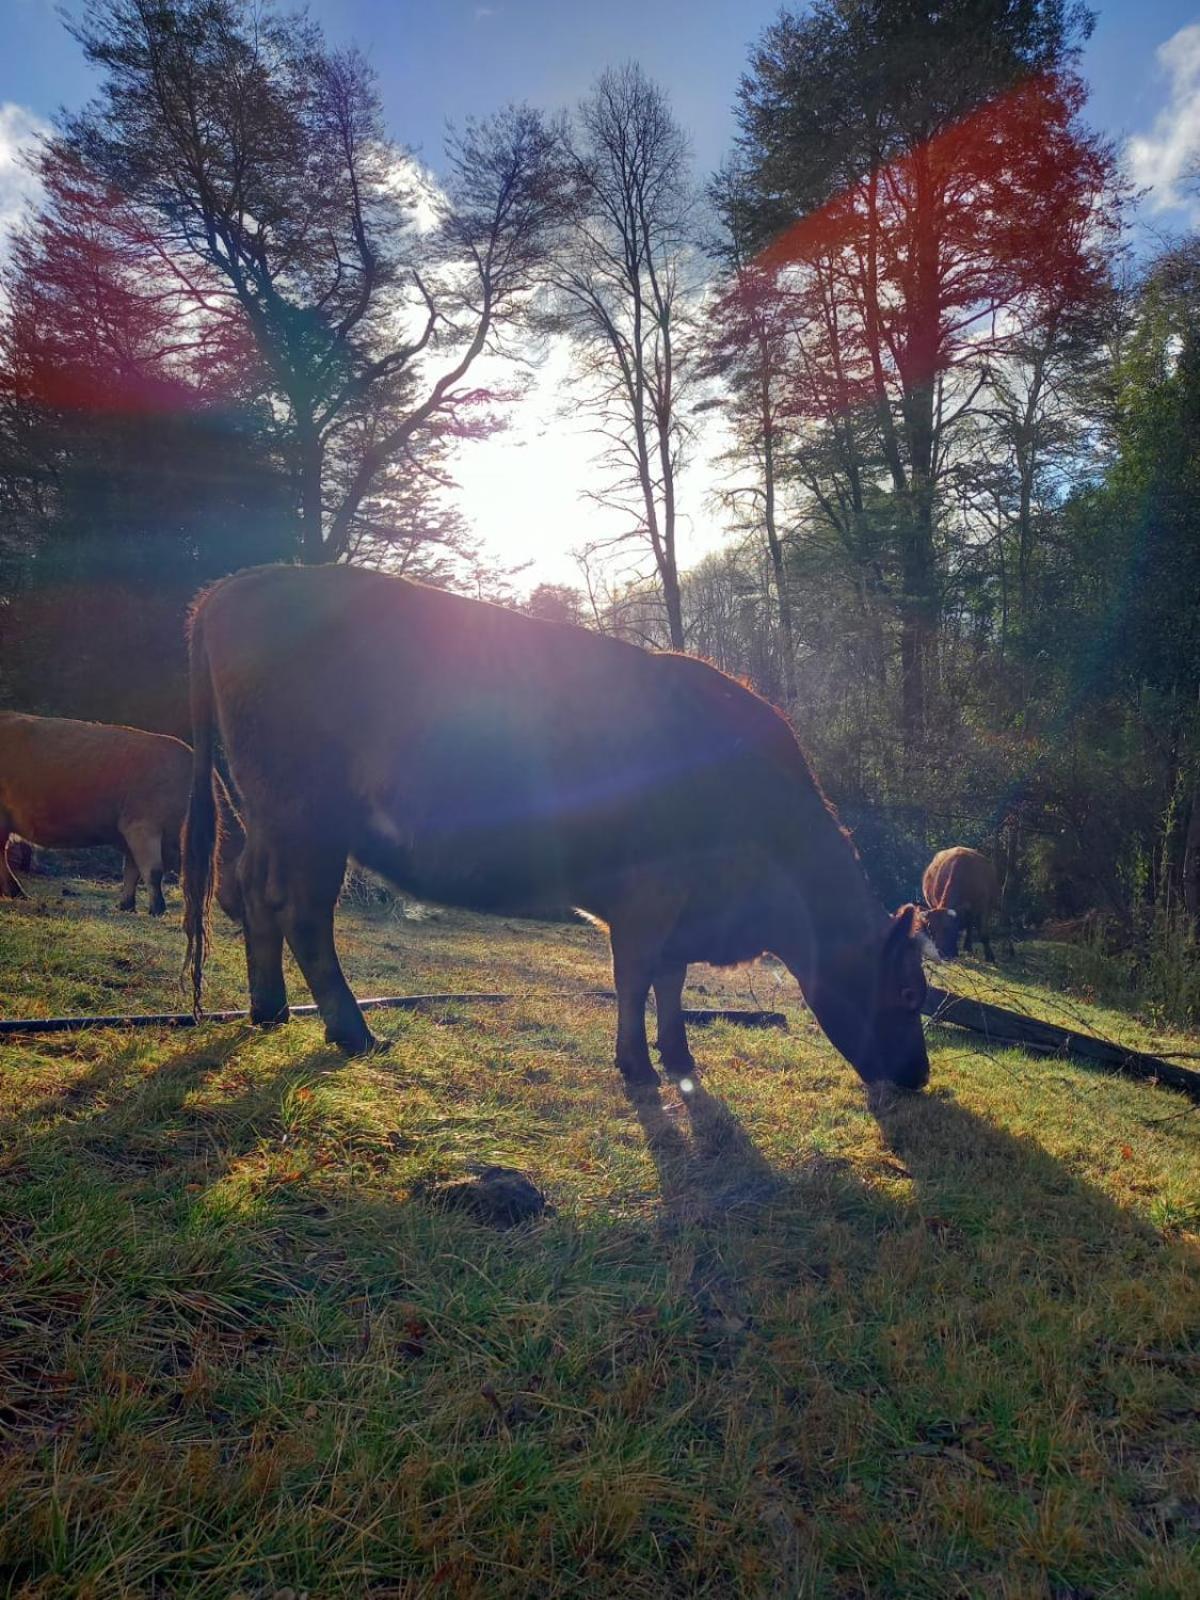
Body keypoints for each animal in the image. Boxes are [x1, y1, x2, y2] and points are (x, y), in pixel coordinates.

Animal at [0, 710, 244, 921]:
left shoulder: (132, 836)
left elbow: (132, 871)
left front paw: (128, 905)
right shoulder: (141, 827)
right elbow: (154, 871)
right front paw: (157, 909)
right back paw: (17, 891)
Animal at [183, 560, 934, 1088]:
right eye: (907, 991)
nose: (920, 1076)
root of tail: (230, 589)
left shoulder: (684, 912)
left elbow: (671, 982)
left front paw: (679, 1057)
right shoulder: (648, 898)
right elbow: (636, 976)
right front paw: (637, 1066)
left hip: (266, 816)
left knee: (252, 893)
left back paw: (271, 1010)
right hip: (308, 818)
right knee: (302, 911)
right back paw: (354, 1032)